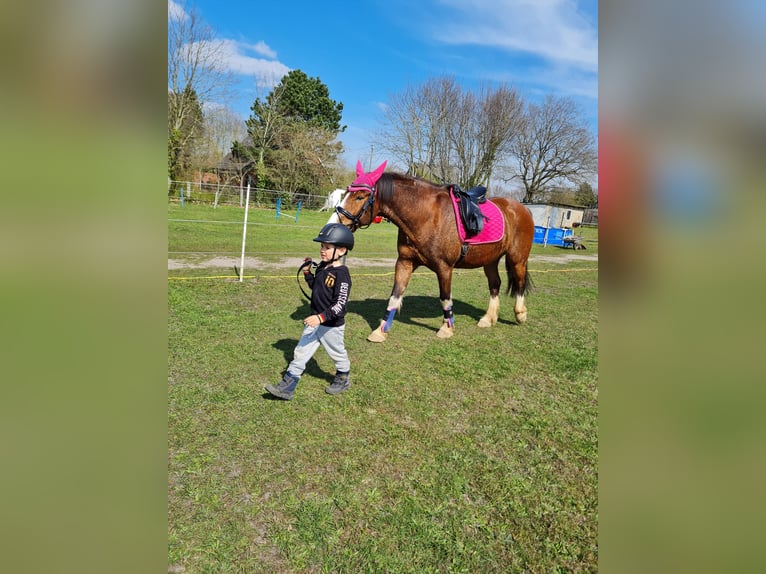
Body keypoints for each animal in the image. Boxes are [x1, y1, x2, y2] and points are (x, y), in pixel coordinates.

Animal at [330, 162, 536, 342]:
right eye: (346, 193)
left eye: (360, 197)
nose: (333, 223)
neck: (426, 215)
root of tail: (522, 208)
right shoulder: (405, 262)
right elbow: (395, 297)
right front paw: (381, 331)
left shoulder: (444, 268)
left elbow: (445, 298)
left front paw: (447, 328)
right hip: (490, 260)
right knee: (495, 284)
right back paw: (488, 318)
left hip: (517, 258)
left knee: (519, 282)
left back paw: (520, 314)